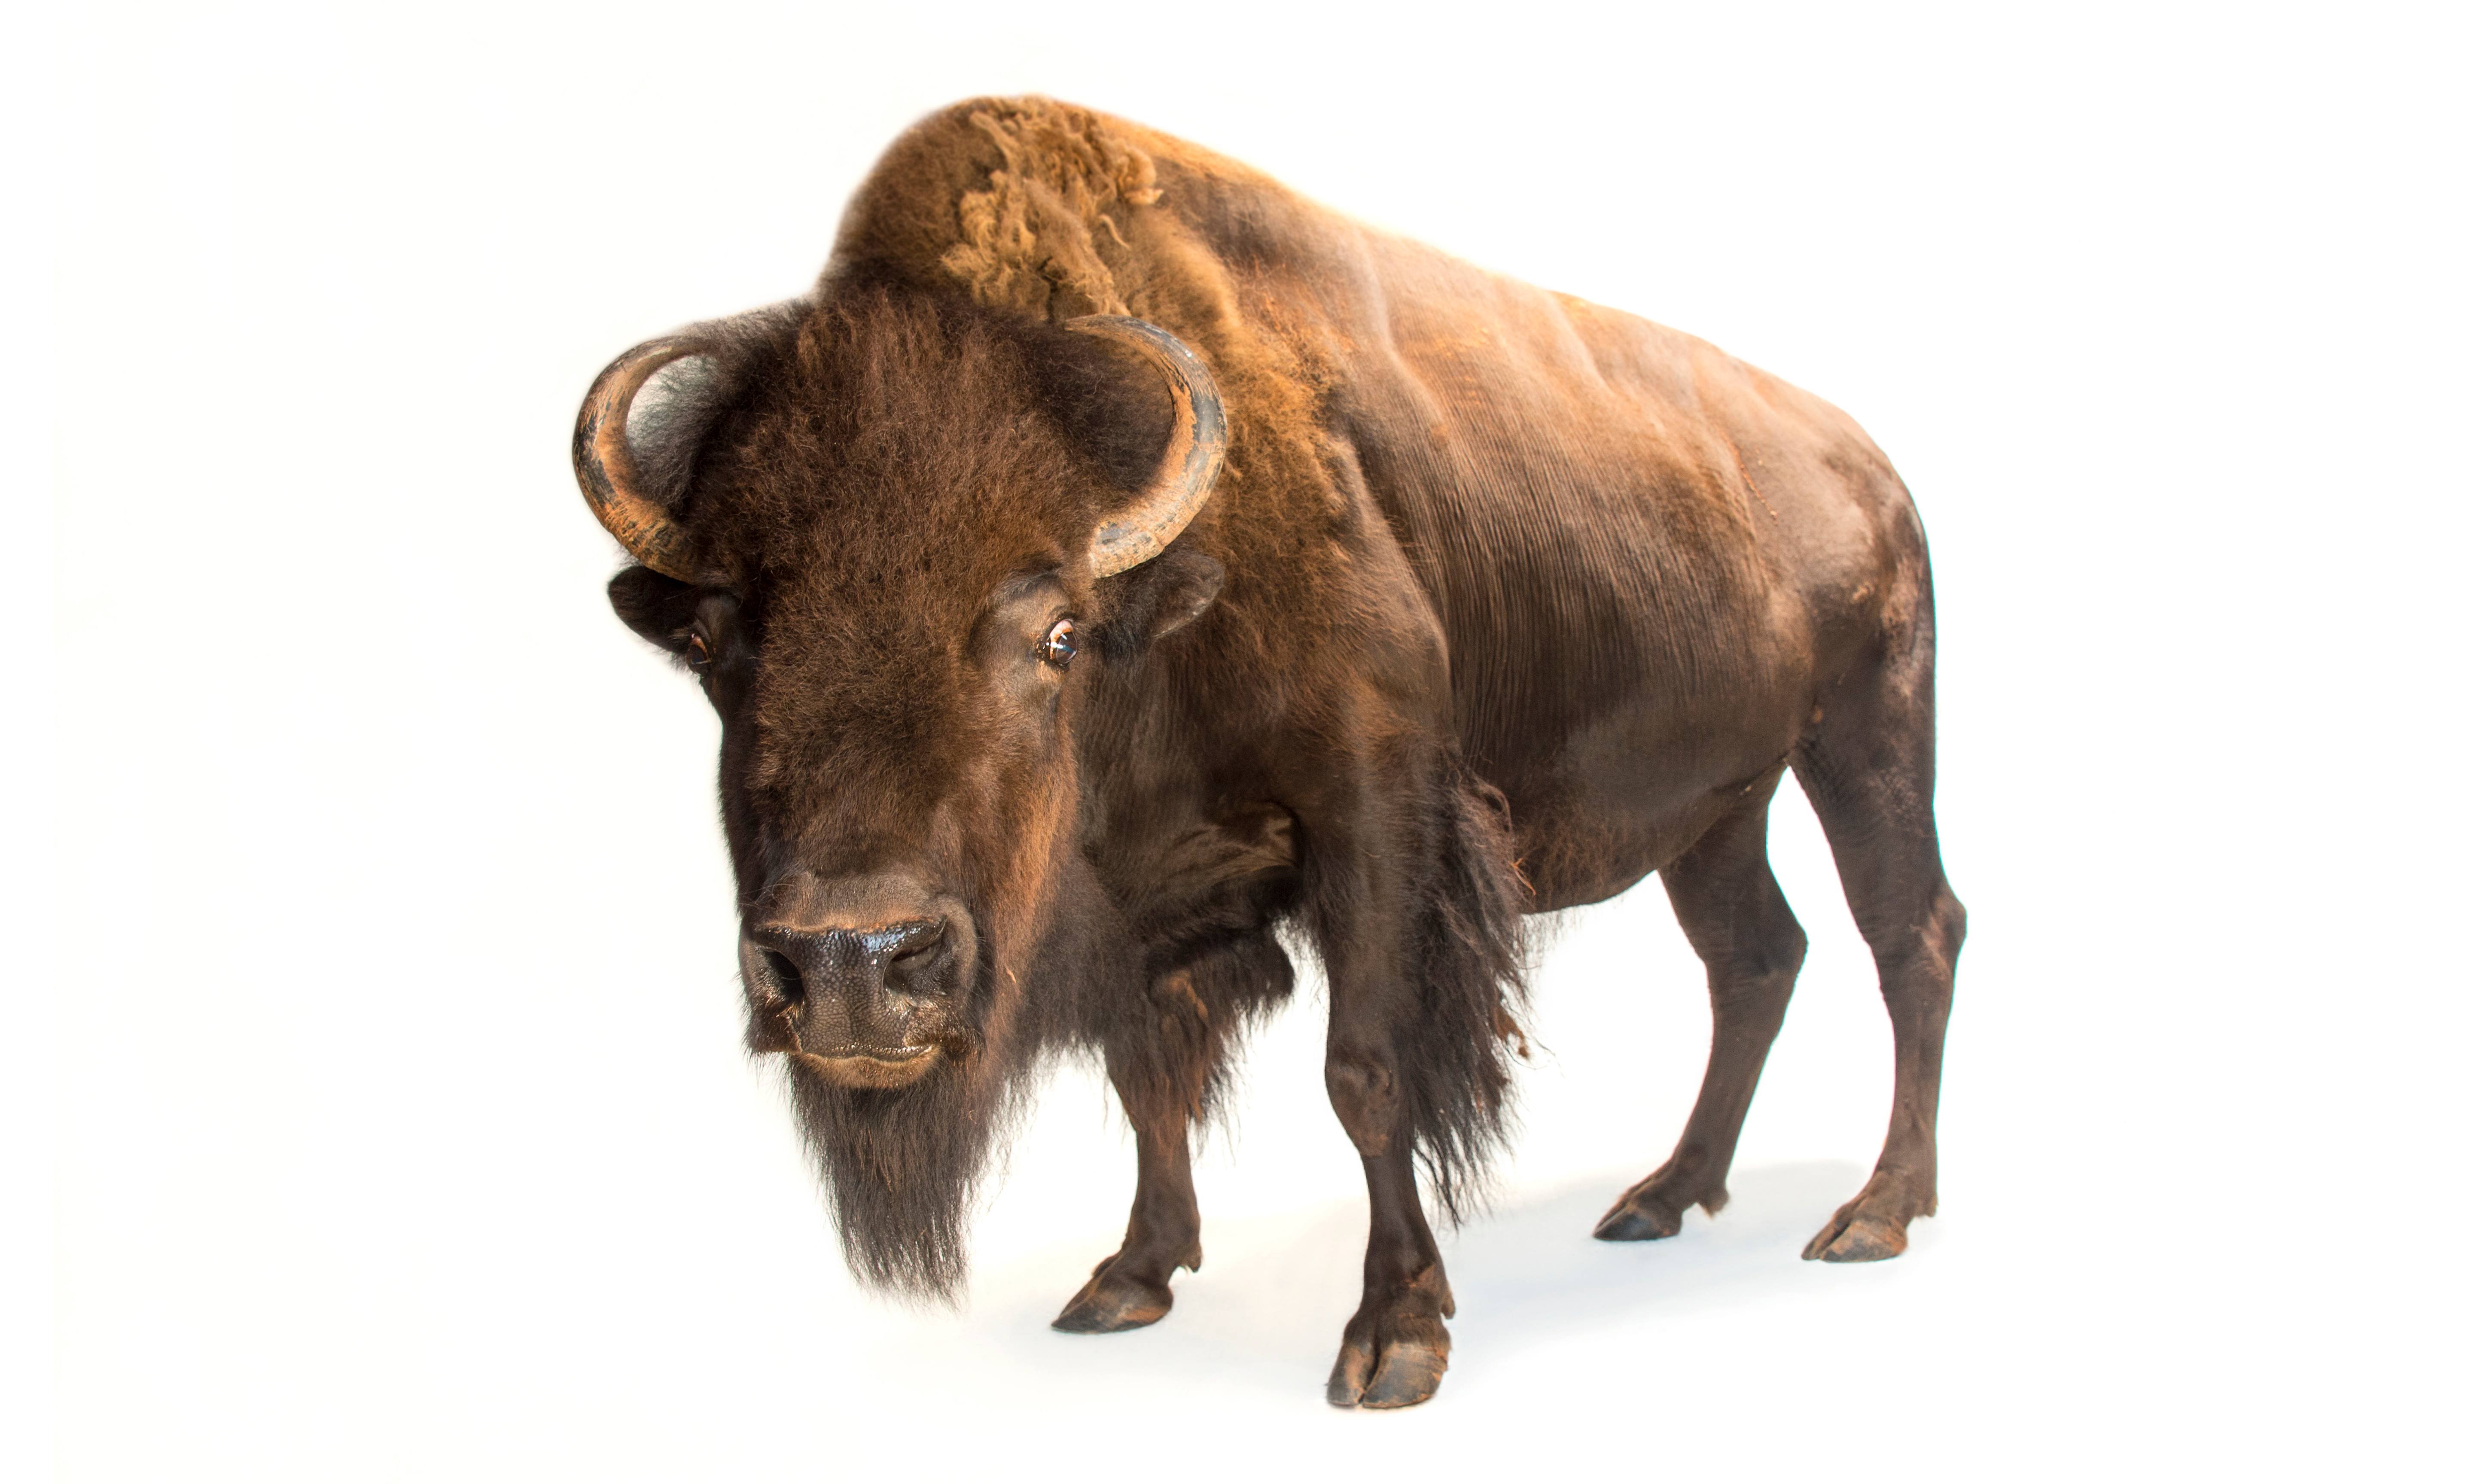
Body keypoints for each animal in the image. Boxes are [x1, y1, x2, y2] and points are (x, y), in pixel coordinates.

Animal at [573, 97, 1964, 1409]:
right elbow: (1148, 1074)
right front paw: (1128, 1279)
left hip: (1867, 738)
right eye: (711, 641)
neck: (1160, 615)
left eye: (1056, 632)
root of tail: (1868, 466)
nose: (851, 965)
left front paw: (1394, 1337)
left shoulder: (1370, 814)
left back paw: (1872, 1216)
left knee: (1911, 935)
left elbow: (1366, 1068)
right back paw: (1660, 1199)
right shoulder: (1140, 897)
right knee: (1755, 959)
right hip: (1721, 808)